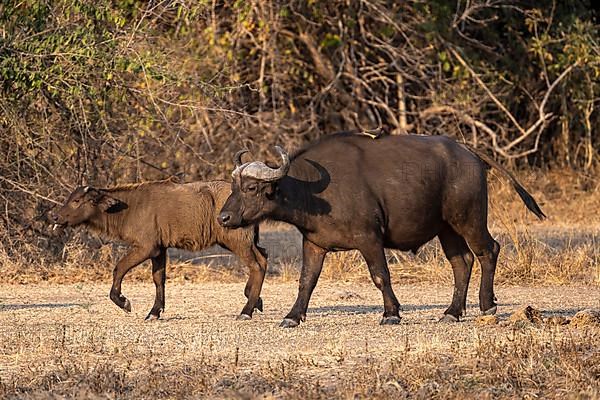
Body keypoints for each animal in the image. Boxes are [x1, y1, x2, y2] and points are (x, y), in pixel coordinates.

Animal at [51, 180, 268, 320]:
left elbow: (119, 268)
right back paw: (255, 300)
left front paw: (123, 301)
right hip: (246, 242)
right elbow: (158, 279)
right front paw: (154, 312)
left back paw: (246, 310)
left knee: (256, 266)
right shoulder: (160, 250)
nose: (55, 217)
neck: (129, 207)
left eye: (77, 201)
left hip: (238, 242)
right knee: (263, 258)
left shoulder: (146, 248)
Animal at [218, 133, 548, 326]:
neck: (313, 191)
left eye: (251, 188)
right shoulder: (314, 244)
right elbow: (306, 282)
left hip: (469, 219)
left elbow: (380, 276)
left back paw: (486, 305)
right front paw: (292, 316)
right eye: (233, 186)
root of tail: (468, 153)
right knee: (461, 262)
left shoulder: (369, 239)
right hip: (447, 229)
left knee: (488, 251)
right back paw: (452, 312)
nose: (223, 217)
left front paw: (391, 313)